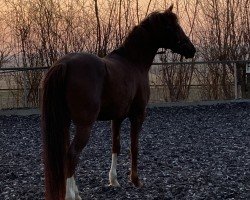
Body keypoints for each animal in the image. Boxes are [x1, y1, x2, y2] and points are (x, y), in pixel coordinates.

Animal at [41, 5, 195, 200]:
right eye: (172, 26)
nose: (191, 49)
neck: (133, 63)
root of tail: (65, 64)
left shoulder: (117, 118)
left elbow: (116, 146)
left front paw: (113, 180)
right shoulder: (138, 115)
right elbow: (134, 147)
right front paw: (136, 181)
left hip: (65, 122)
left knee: (67, 155)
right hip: (84, 125)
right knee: (72, 154)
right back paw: (71, 195)